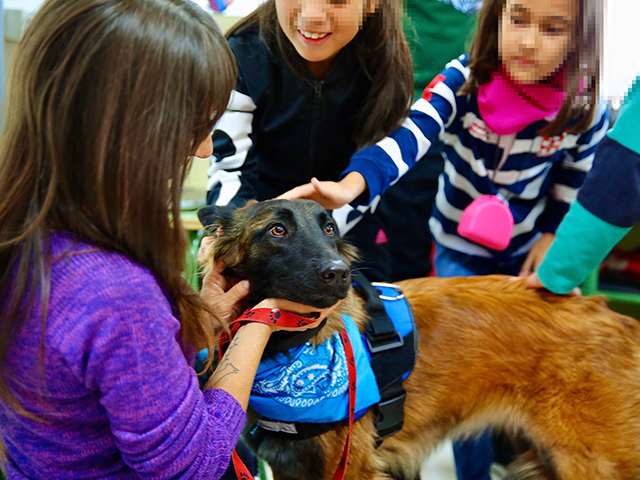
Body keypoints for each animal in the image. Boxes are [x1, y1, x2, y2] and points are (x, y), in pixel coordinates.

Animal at [199, 199, 640, 480]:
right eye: (277, 230)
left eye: (329, 228)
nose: (340, 273)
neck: (289, 352)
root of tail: (617, 318)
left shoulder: (348, 468)